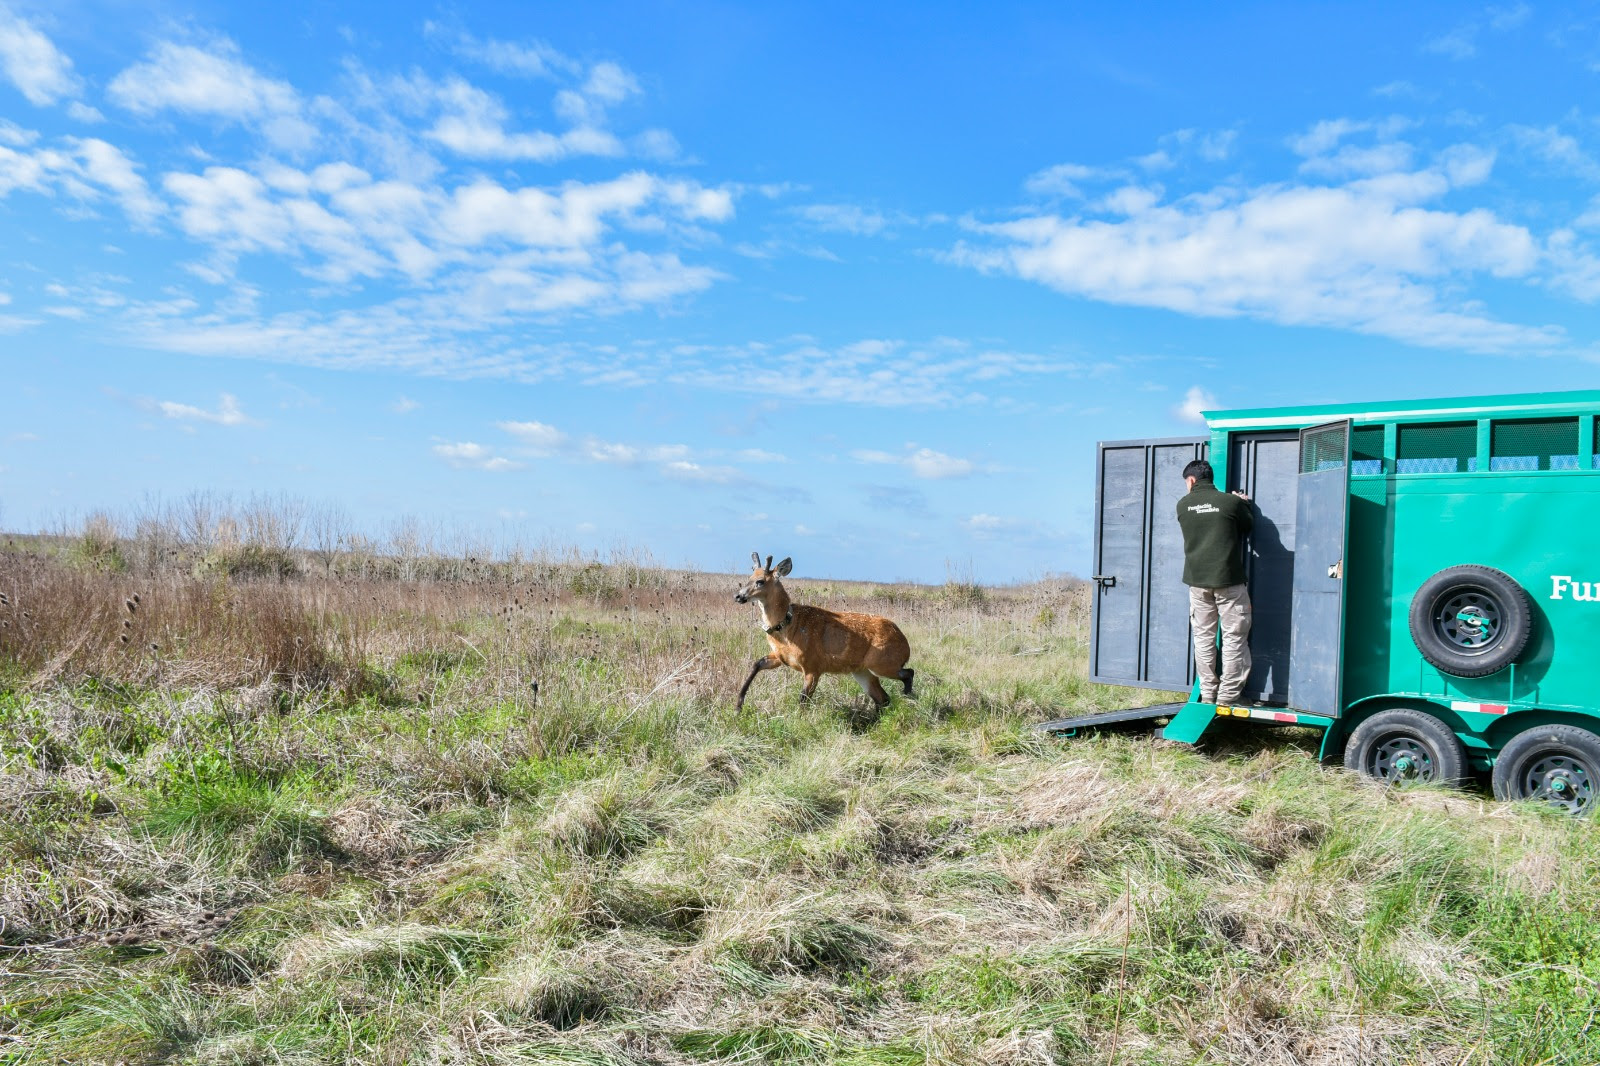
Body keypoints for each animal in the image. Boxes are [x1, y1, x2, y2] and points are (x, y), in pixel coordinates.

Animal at [734, 552, 915, 712]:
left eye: (760, 581)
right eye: (749, 577)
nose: (738, 596)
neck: (788, 627)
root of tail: (905, 643)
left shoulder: (813, 665)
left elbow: (803, 700)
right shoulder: (780, 657)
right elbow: (756, 664)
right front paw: (738, 706)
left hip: (883, 663)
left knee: (908, 673)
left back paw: (908, 696)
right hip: (862, 671)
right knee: (883, 699)